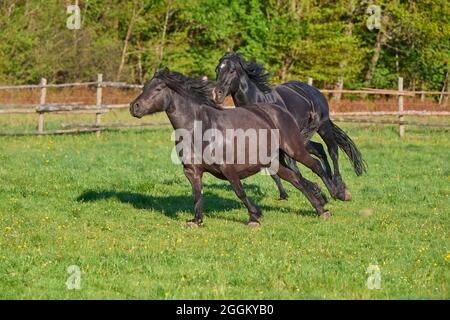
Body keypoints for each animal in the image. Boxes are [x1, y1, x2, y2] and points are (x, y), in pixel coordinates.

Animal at [130, 69, 342, 226]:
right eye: (145, 86)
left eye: (158, 88)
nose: (134, 107)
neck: (201, 128)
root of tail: (279, 110)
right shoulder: (192, 171)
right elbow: (197, 194)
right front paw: (196, 220)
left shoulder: (228, 168)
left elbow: (239, 191)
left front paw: (254, 217)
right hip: (273, 161)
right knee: (295, 179)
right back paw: (320, 208)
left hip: (294, 148)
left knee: (315, 164)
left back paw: (336, 194)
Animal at [212, 52, 366, 202]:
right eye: (217, 69)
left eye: (232, 70)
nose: (217, 93)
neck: (259, 103)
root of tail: (314, 91)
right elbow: (277, 171)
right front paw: (290, 194)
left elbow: (293, 168)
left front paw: (317, 191)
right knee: (320, 149)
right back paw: (331, 183)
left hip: (322, 127)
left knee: (332, 150)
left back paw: (340, 190)